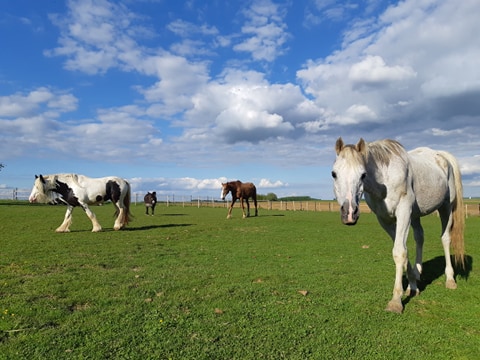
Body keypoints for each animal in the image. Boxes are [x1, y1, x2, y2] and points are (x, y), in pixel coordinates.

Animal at [332, 138, 464, 312]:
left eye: (363, 174)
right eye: (334, 174)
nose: (349, 213)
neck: (384, 180)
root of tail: (442, 155)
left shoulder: (403, 212)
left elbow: (399, 252)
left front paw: (395, 301)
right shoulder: (385, 220)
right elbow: (404, 251)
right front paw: (412, 286)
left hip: (446, 207)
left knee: (445, 238)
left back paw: (450, 279)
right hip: (415, 216)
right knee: (419, 237)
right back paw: (418, 274)